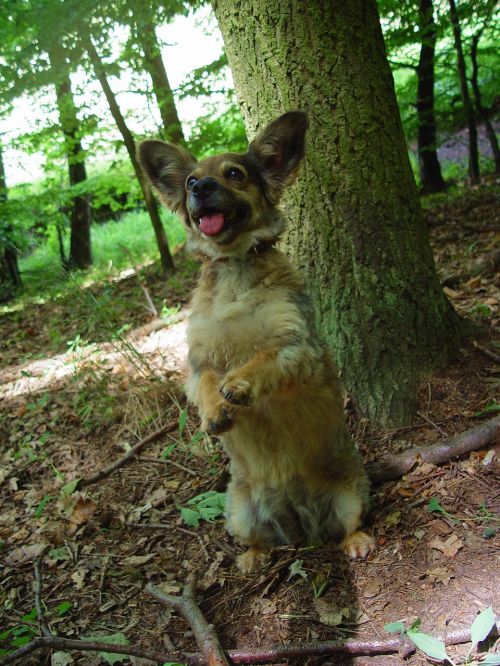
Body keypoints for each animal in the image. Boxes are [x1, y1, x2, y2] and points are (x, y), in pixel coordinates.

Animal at [139, 110, 374, 572]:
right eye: (190, 180)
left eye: (234, 173)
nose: (200, 187)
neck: (234, 267)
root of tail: (302, 523)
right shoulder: (198, 361)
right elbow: (207, 384)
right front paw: (216, 410)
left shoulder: (297, 345)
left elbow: (264, 356)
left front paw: (239, 384)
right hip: (240, 510)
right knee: (259, 541)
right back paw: (252, 557)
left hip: (350, 494)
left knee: (349, 525)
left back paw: (356, 541)